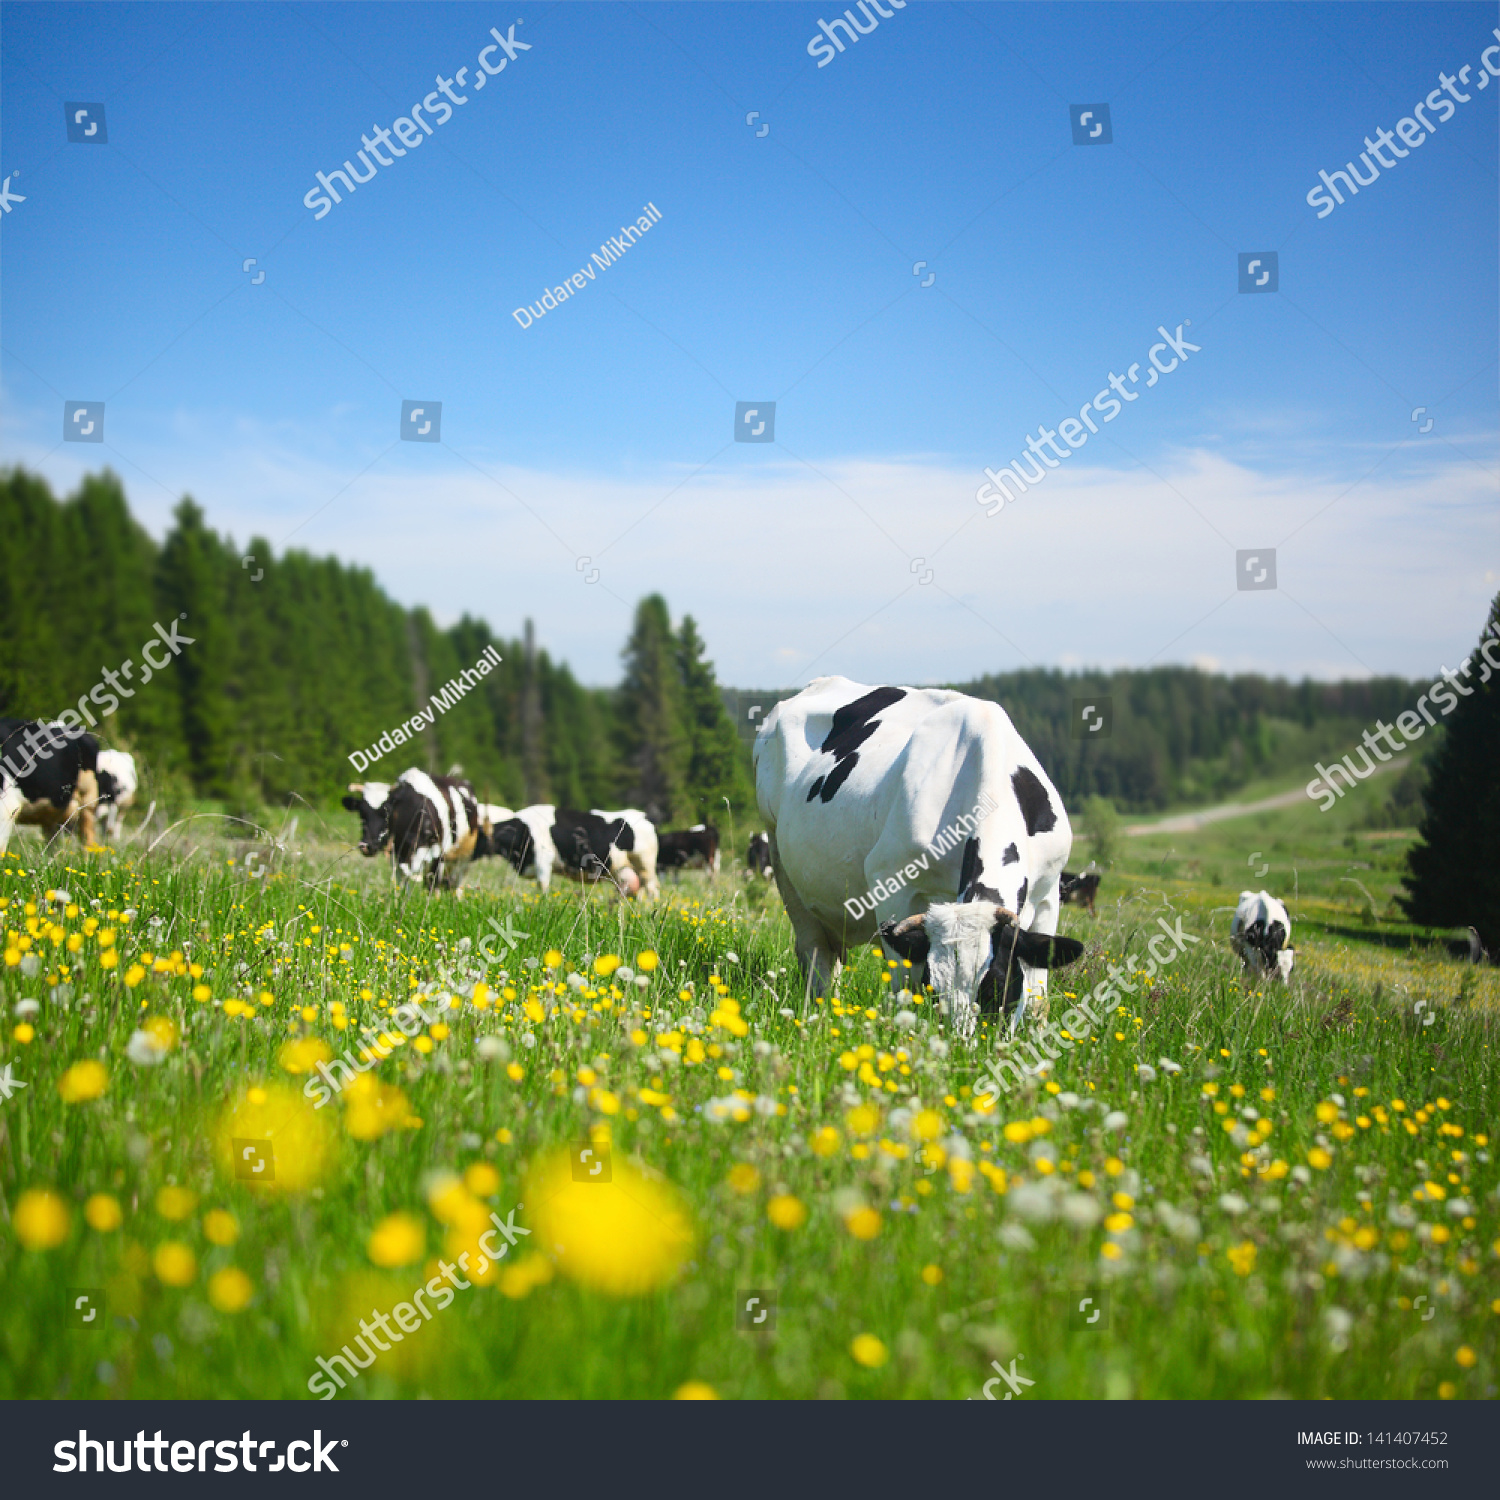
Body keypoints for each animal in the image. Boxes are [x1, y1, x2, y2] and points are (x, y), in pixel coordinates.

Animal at [342, 774, 477, 888]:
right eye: (361, 812)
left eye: (387, 811)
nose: (367, 846)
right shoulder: (396, 854)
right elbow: (403, 879)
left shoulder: (438, 853)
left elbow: (431, 883)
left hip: (463, 858)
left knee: (455, 882)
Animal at [756, 675, 1086, 1038]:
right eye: (934, 987)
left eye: (997, 986)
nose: (962, 1046)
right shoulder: (891, 883)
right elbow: (902, 988)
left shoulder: (1048, 891)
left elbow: (1039, 1000)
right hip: (779, 855)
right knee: (815, 953)